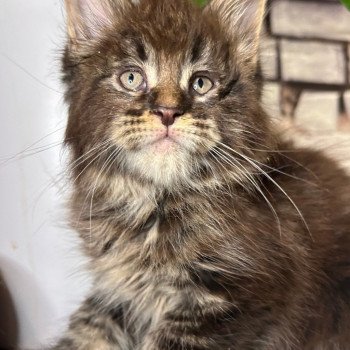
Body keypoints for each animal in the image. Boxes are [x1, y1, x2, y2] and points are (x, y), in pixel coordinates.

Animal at [52, 0, 350, 350]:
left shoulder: (238, 294)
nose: (168, 112)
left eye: (201, 83)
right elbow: (85, 332)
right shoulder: (117, 292)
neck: (154, 204)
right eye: (131, 77)